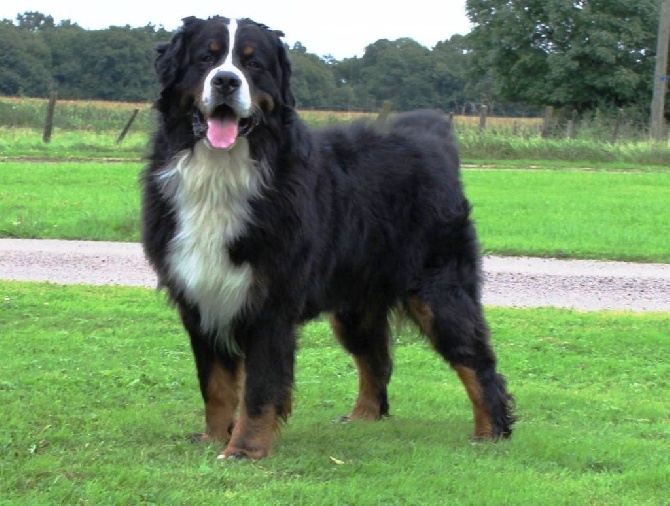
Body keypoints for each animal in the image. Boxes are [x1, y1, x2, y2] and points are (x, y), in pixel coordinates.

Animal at [142, 15, 516, 458]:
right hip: (356, 305)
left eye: (254, 64)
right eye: (206, 58)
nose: (226, 81)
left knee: (477, 360)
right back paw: (364, 416)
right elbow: (215, 384)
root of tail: (431, 138)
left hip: (438, 292)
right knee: (376, 359)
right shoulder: (201, 296)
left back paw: (491, 431)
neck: (222, 172)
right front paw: (214, 438)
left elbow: (259, 389)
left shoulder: (269, 304)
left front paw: (243, 450)